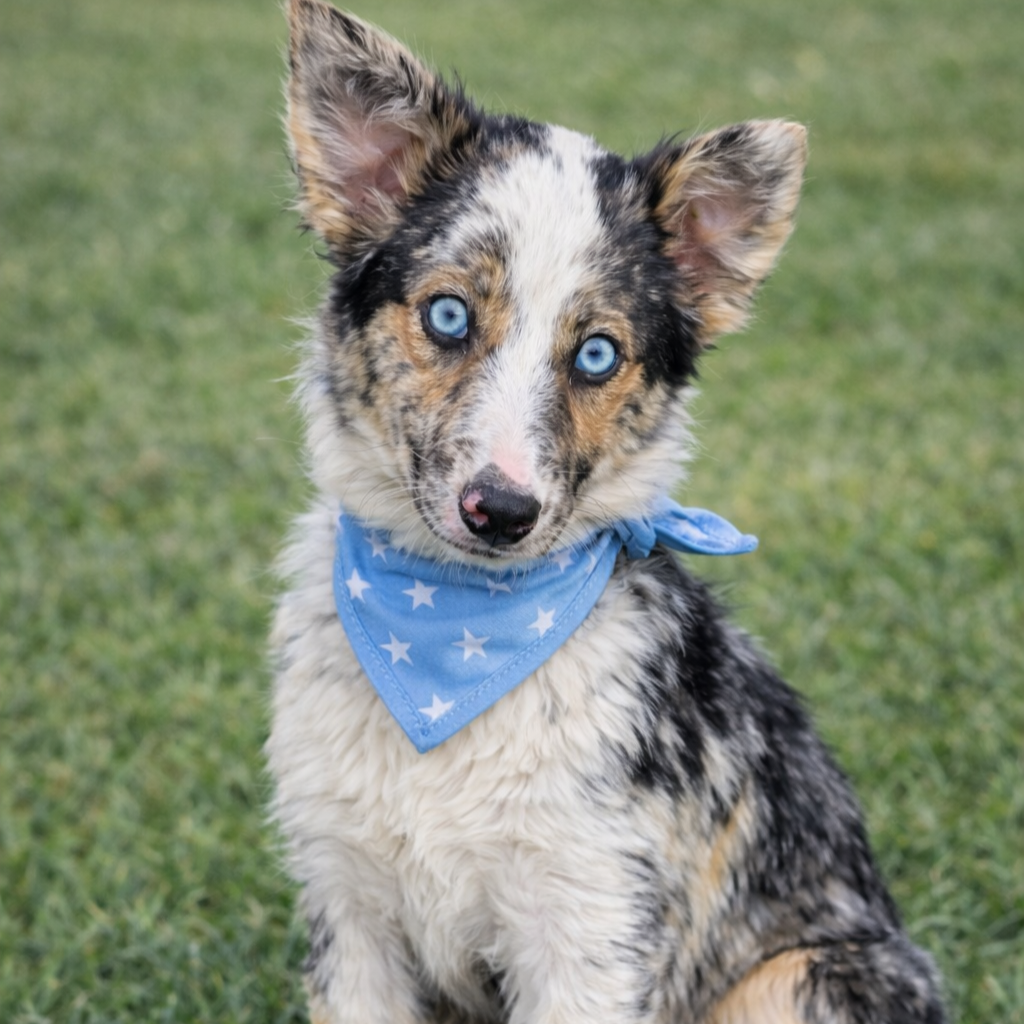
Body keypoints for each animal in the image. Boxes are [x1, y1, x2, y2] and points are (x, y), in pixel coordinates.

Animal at [267, 2, 948, 1021]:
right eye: (448, 316)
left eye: (596, 354)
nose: (502, 511)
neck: (455, 648)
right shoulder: (349, 913)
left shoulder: (591, 920)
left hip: (804, 977)